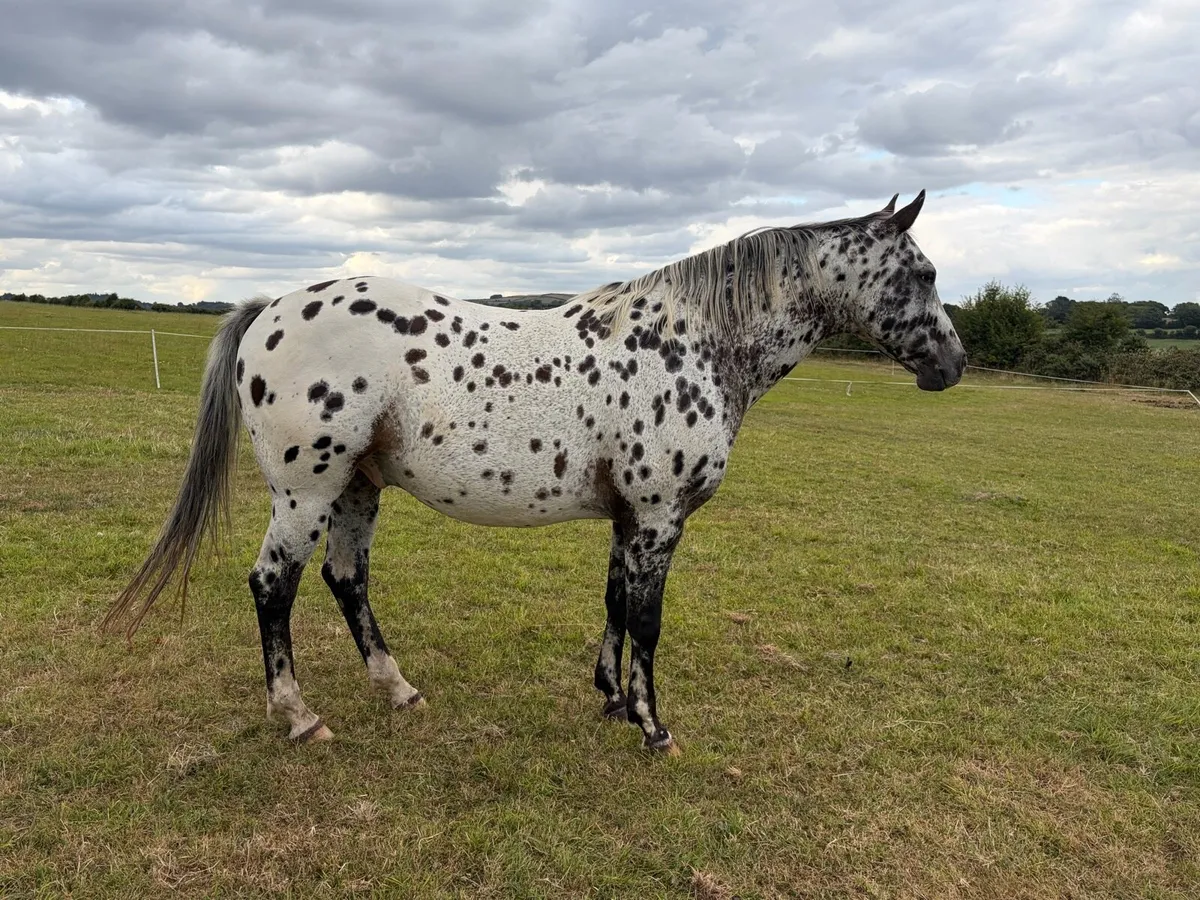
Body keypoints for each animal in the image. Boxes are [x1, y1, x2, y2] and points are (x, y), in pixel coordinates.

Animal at [104, 191, 966, 755]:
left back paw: (399, 690)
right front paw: (653, 727)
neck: (694, 344)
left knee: (346, 580)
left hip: (356, 488)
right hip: (305, 492)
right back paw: (299, 714)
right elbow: (648, 621)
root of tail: (272, 308)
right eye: (923, 274)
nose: (953, 366)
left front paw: (611, 700)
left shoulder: (629, 520)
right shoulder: (659, 518)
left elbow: (615, 605)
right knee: (272, 587)